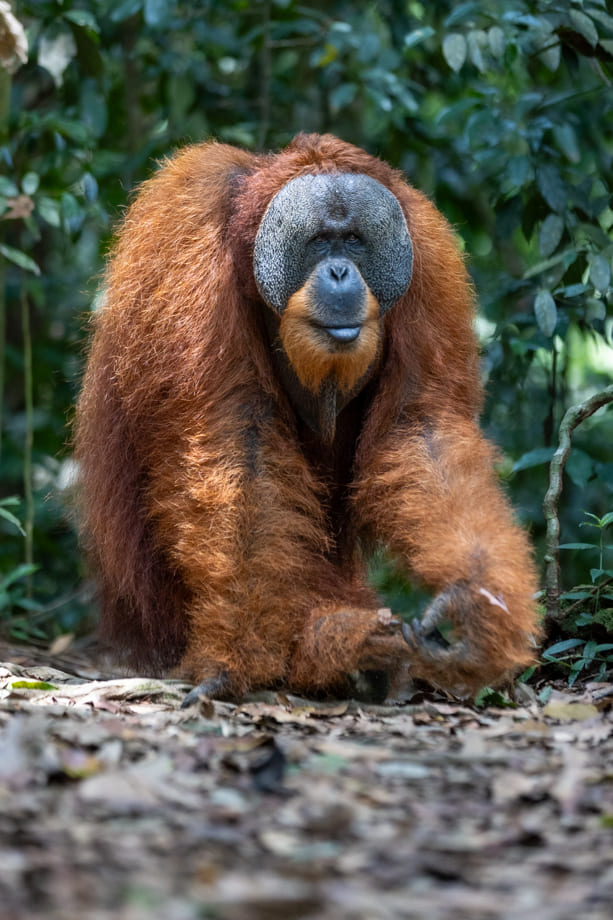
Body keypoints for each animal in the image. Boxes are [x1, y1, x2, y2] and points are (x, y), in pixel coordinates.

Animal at [74, 133, 540, 703]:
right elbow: (238, 436)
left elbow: (420, 427)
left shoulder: (428, 259)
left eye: (355, 241)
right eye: (319, 242)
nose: (340, 272)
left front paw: (473, 607)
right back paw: (347, 647)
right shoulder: (188, 231)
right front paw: (234, 660)